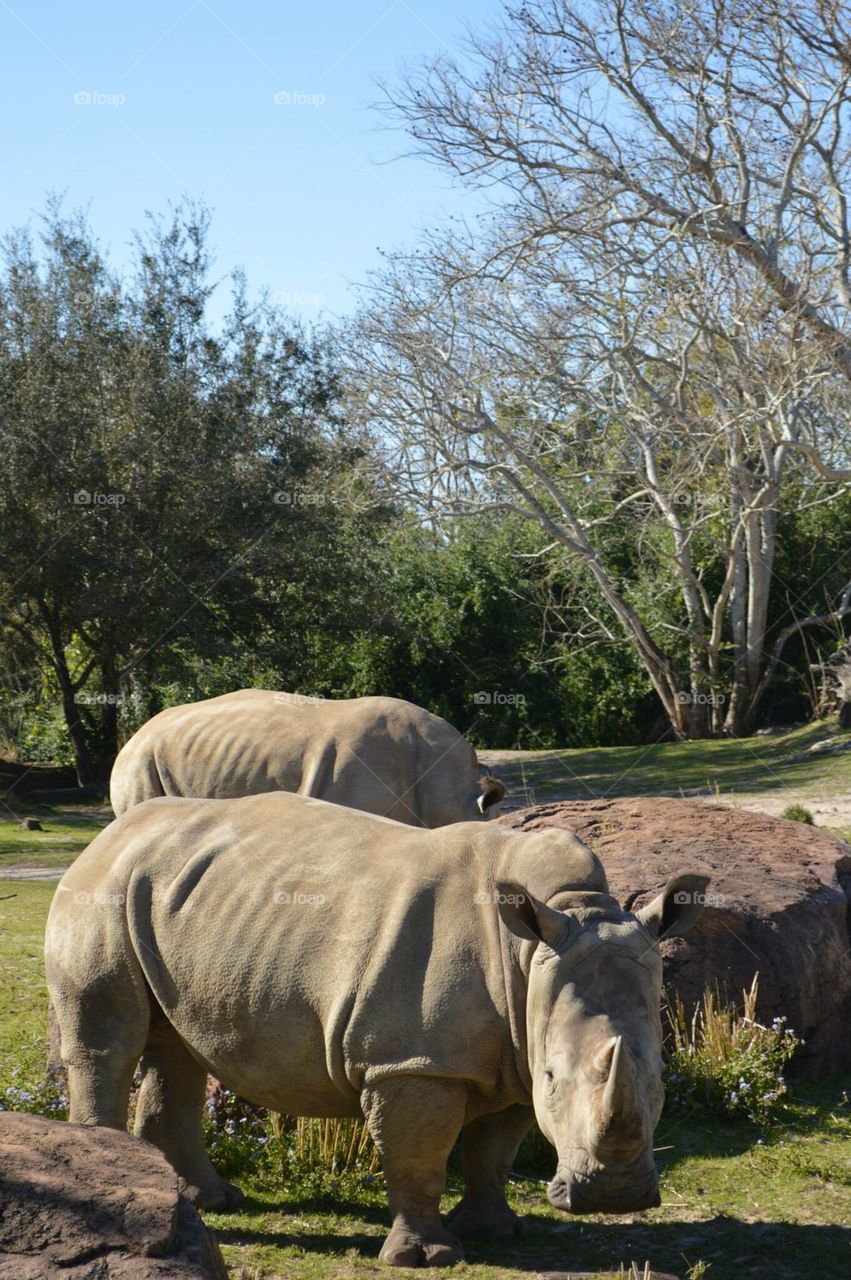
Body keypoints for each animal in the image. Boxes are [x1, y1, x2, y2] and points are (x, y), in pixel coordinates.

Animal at [45, 792, 708, 1268]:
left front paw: (497, 1233)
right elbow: (419, 1157)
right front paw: (428, 1258)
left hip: (180, 904)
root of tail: (109, 833)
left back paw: (210, 1202)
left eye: (661, 1078)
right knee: (109, 1044)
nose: (613, 1199)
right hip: (102, 889)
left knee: (178, 1047)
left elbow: (494, 1151)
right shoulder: (415, 1062)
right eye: (553, 1077)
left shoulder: (515, 1045)